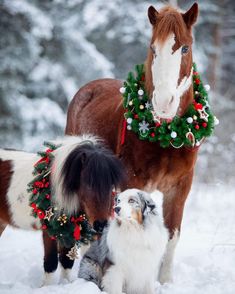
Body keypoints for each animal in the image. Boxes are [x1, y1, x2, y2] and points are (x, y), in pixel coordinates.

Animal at [0, 136, 125, 284]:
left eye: (111, 185)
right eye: (88, 184)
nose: (101, 225)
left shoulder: (70, 229)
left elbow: (66, 260)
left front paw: (65, 283)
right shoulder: (50, 230)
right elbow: (51, 262)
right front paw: (47, 286)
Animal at [65, 2, 198, 282]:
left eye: (184, 47)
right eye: (153, 48)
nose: (164, 103)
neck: (167, 136)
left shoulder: (180, 187)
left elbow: (171, 236)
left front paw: (164, 281)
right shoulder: (130, 180)